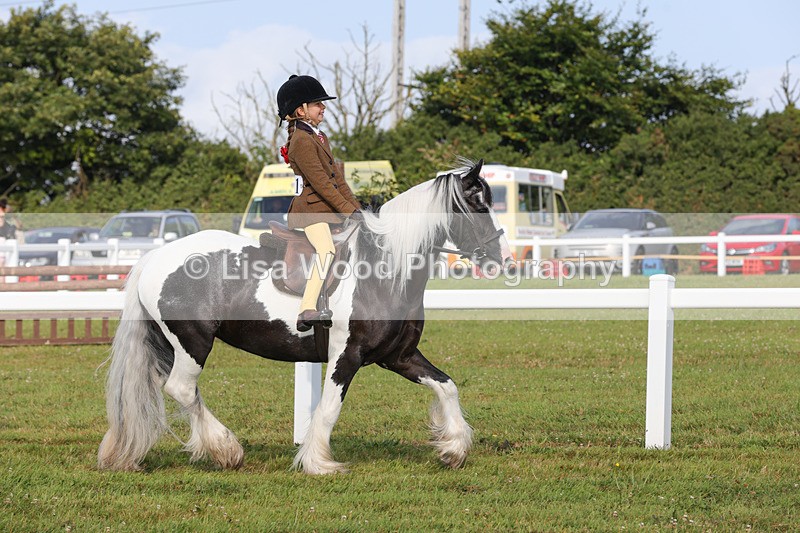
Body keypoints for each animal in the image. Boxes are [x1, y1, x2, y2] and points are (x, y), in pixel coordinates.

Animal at [97, 159, 511, 474]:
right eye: (479, 207)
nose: (504, 259)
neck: (383, 269)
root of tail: (155, 257)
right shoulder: (346, 356)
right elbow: (328, 409)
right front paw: (318, 462)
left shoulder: (399, 356)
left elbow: (447, 386)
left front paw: (453, 448)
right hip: (193, 342)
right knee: (181, 388)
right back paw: (226, 449)